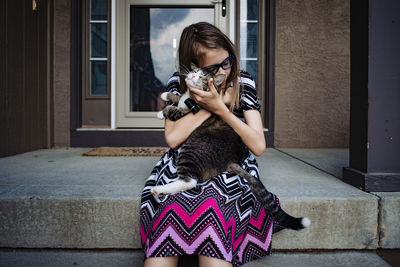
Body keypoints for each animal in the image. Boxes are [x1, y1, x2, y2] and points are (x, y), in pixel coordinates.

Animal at [153, 66, 310, 230]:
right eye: (195, 71)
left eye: (202, 76)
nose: (193, 75)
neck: (192, 96)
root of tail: (231, 160)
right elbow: (178, 98)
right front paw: (167, 95)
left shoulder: (189, 112)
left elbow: (174, 110)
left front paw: (161, 112)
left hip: (190, 150)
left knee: (190, 181)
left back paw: (159, 189)